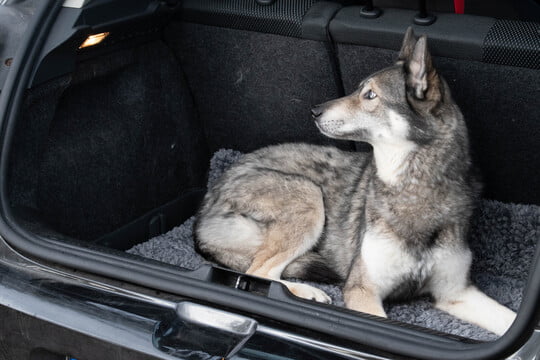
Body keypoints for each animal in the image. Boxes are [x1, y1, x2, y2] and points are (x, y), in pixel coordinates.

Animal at [193, 28, 516, 338]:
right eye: (359, 90)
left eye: (370, 95)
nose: (314, 111)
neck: (414, 189)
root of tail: (205, 207)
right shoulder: (362, 289)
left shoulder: (455, 293)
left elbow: (509, 319)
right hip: (309, 196)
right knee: (258, 272)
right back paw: (304, 293)